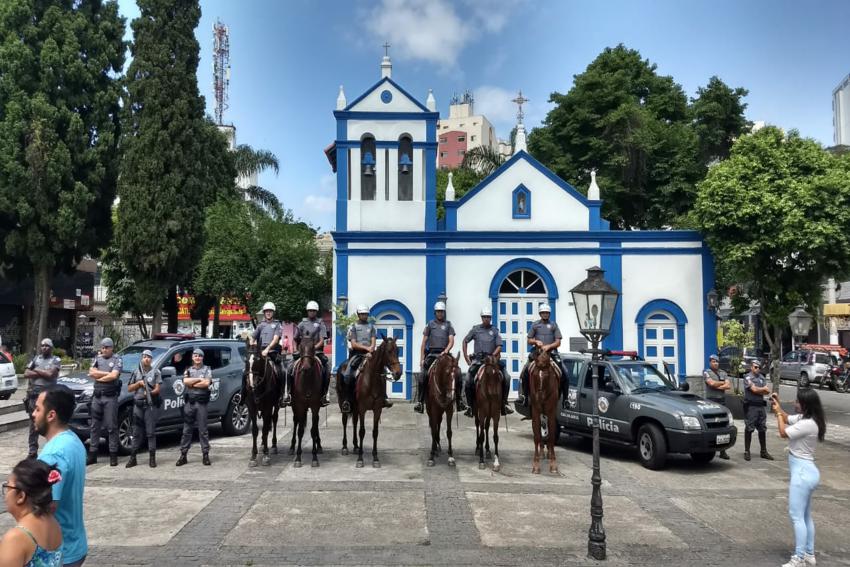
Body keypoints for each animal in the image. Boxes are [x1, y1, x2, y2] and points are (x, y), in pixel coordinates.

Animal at [288, 340, 322, 468]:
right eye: (301, 348)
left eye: (313, 348)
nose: (306, 367)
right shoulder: (300, 406)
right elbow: (300, 431)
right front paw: (298, 458)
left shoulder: (315, 406)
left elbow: (313, 430)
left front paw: (314, 457)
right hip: (295, 407)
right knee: (296, 421)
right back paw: (292, 447)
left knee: (316, 423)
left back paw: (319, 445)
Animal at [352, 340, 402, 468]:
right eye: (388, 351)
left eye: (398, 350)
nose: (398, 373)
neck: (371, 381)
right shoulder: (362, 409)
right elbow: (362, 431)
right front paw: (360, 459)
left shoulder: (378, 409)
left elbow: (375, 432)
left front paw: (375, 458)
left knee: (354, 423)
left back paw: (355, 446)